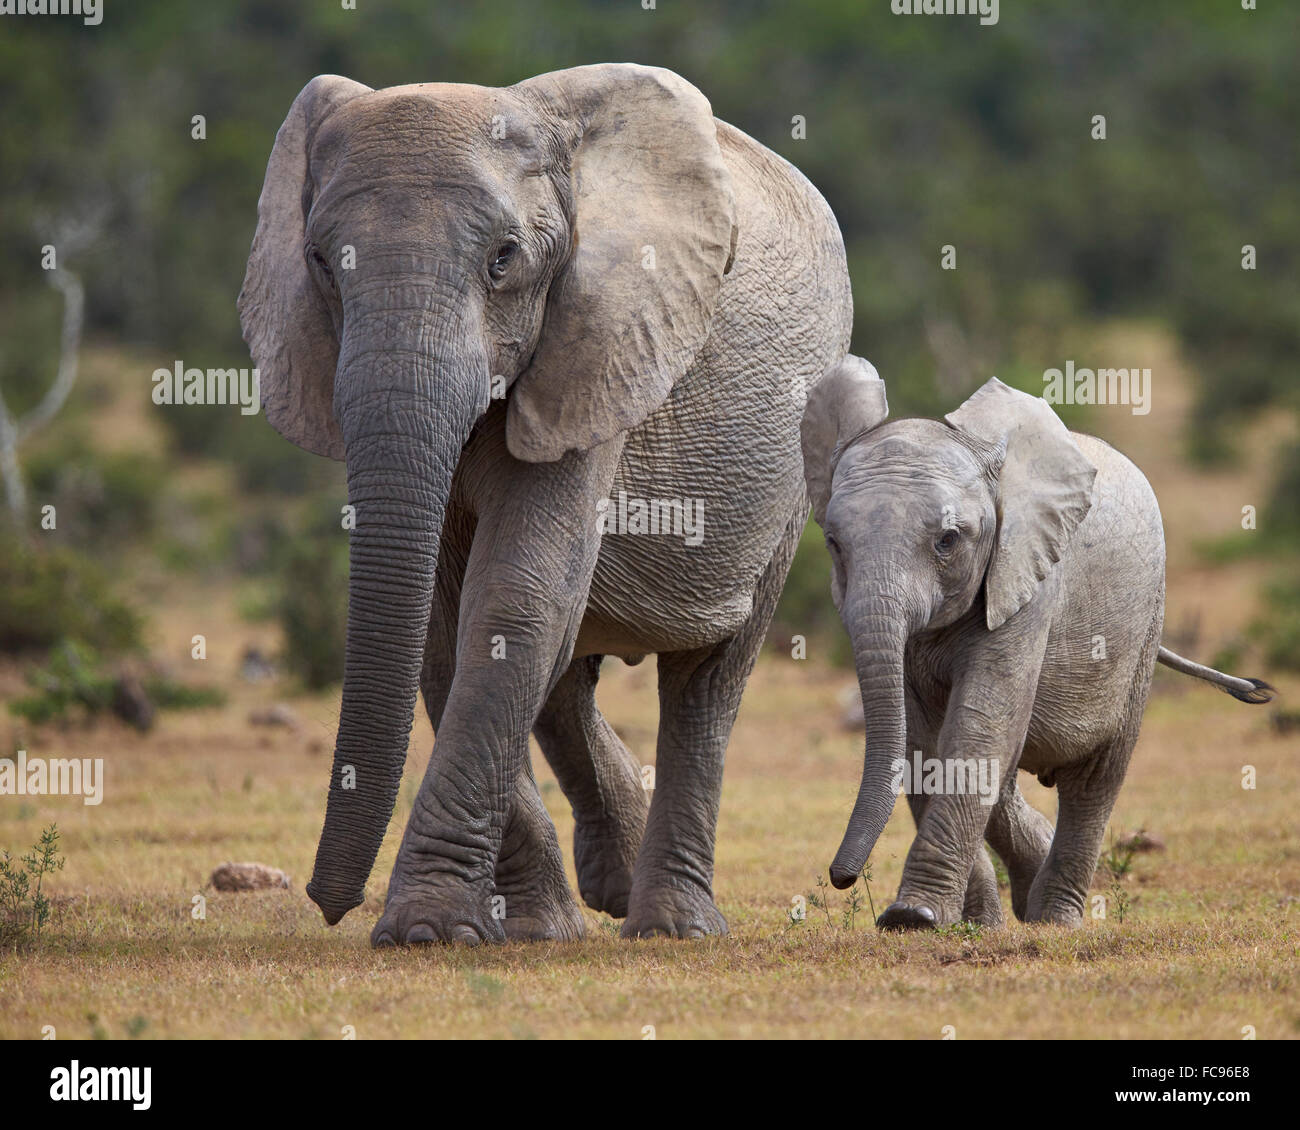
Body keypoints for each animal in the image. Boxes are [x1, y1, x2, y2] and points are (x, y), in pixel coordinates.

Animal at [238, 65, 852, 944]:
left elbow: (514, 601)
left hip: (794, 453)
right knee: (568, 677)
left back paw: (672, 926)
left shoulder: (603, 341)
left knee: (707, 679)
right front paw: (517, 932)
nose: (329, 905)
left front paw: (425, 933)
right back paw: (610, 890)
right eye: (322, 262)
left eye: (504, 260)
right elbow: (448, 626)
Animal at [799, 358, 1274, 929]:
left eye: (947, 540)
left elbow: (976, 729)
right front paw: (963, 925)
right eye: (834, 544)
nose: (840, 877)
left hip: (1145, 627)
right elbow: (924, 740)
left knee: (1095, 779)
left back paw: (1054, 919)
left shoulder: (1028, 581)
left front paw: (914, 918)